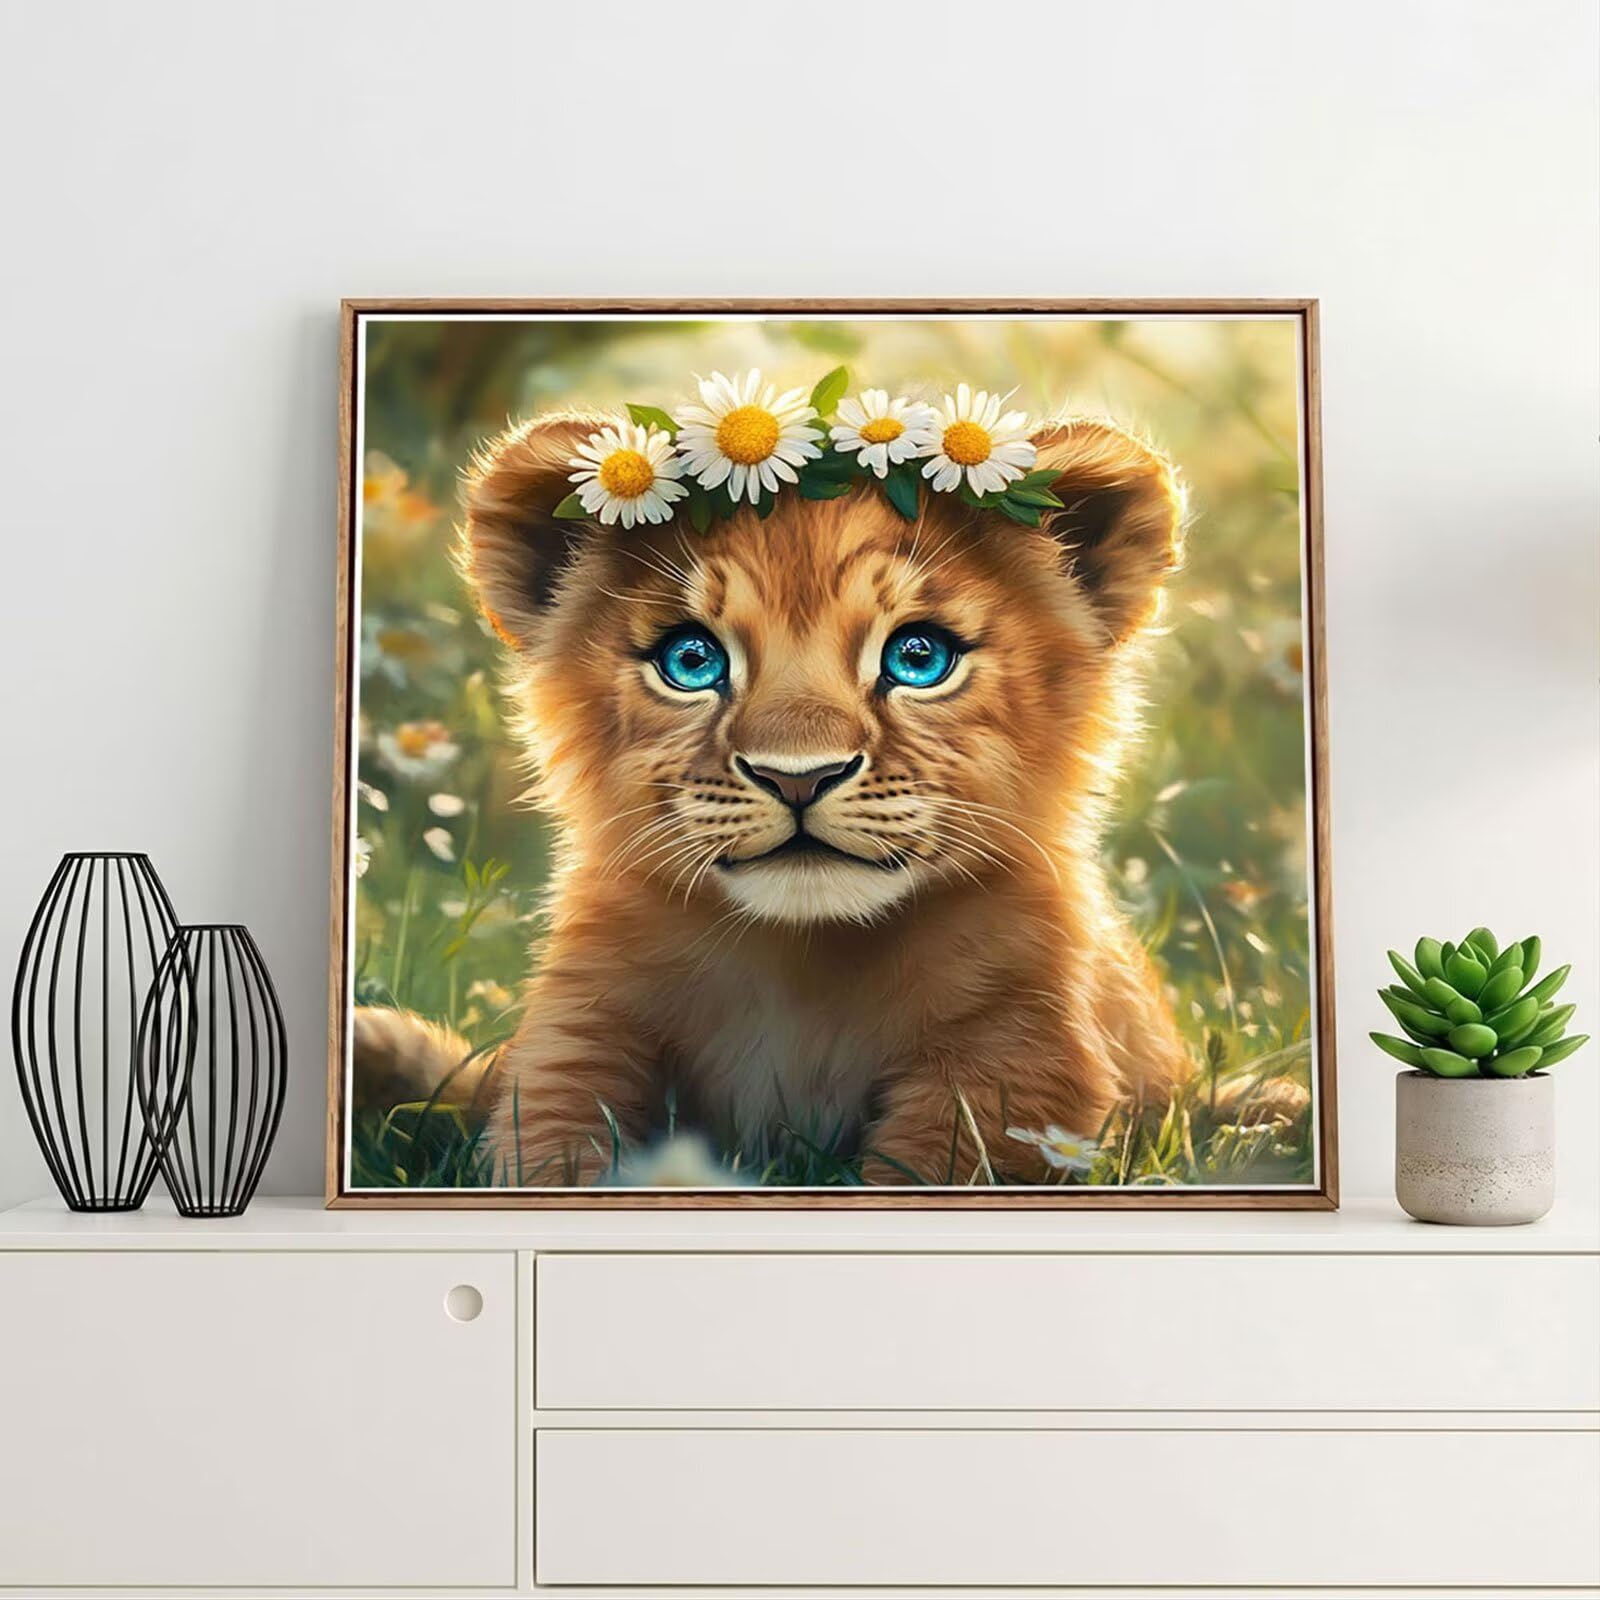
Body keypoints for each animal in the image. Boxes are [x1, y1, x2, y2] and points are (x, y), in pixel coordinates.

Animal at [353, 407, 1197, 1186]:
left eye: (919, 657)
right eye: (691, 661)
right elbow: (556, 1155)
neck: (803, 964)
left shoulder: (1018, 1063)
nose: (798, 777)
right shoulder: (579, 1039)